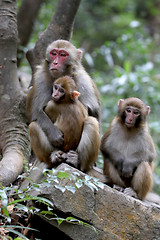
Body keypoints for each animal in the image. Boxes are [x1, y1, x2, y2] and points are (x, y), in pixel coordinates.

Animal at [26, 39, 100, 171]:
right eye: (54, 53)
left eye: (63, 55)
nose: (55, 63)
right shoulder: (41, 78)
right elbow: (36, 111)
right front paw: (54, 135)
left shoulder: (83, 81)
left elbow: (93, 112)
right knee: (34, 125)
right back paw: (54, 156)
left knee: (91, 121)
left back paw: (77, 161)